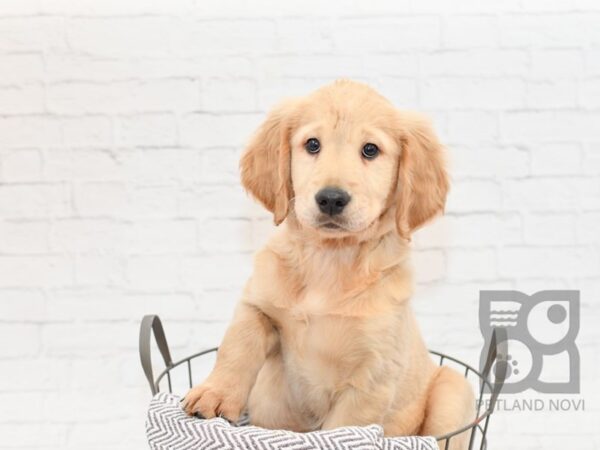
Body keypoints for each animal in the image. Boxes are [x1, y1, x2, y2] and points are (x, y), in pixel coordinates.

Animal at [183, 79, 474, 448]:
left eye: (370, 150)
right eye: (312, 144)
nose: (332, 199)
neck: (329, 260)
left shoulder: (371, 377)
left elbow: (343, 429)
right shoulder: (257, 303)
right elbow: (238, 344)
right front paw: (215, 394)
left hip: (453, 388)